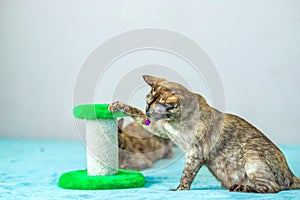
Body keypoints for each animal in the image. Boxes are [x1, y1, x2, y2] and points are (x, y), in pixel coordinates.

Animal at [108, 74, 300, 193]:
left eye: (156, 107)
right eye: (147, 102)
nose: (149, 113)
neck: (175, 123)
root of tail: (291, 174)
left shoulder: (194, 152)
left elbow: (186, 174)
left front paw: (179, 190)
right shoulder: (159, 129)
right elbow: (135, 113)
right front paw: (117, 105)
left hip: (252, 154)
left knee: (273, 188)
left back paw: (241, 188)